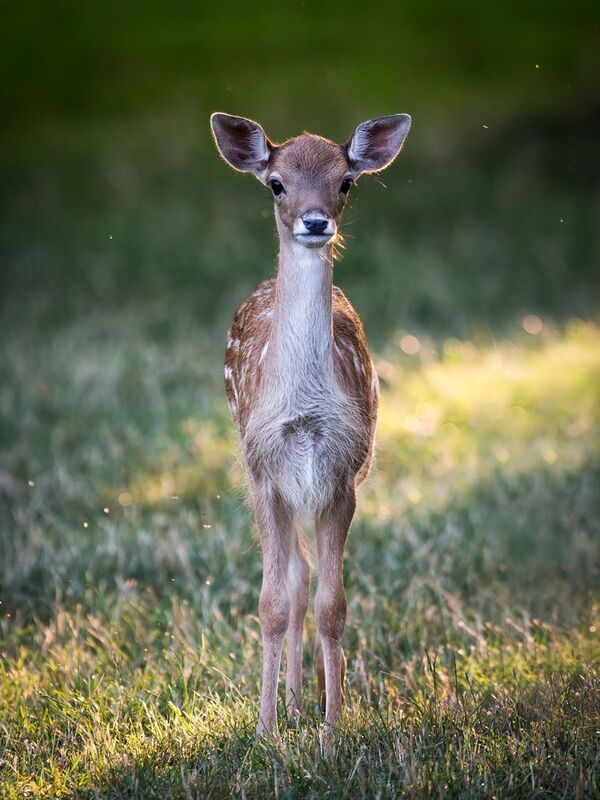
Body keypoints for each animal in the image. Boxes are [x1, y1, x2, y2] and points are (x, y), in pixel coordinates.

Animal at [210, 111, 411, 736]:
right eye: (276, 183)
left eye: (346, 181)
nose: (316, 220)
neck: (303, 409)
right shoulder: (265, 472)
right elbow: (271, 603)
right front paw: (266, 731)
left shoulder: (344, 473)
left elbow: (334, 605)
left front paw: (331, 731)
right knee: (295, 578)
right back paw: (295, 702)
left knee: (309, 579)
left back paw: (313, 698)